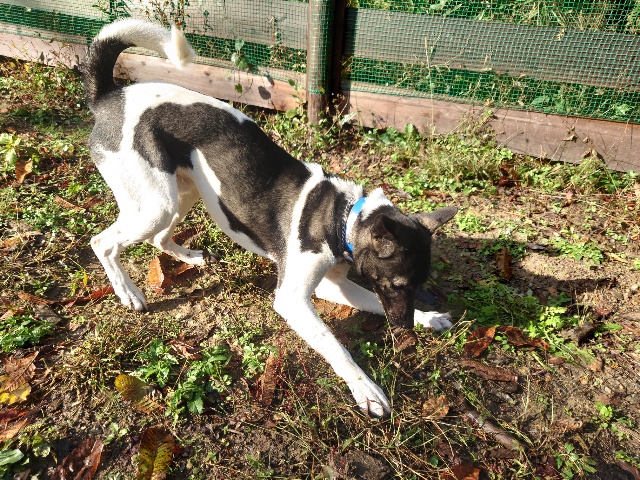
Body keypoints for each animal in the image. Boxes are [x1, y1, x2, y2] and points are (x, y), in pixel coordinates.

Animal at [83, 19, 457, 417]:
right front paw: (365, 388)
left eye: (417, 286)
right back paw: (128, 293)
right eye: (398, 285)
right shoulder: (293, 298)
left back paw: (191, 257)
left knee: (157, 237)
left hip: (183, 193)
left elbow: (371, 303)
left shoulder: (332, 286)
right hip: (156, 204)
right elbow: (334, 343)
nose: (406, 332)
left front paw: (428, 318)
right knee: (103, 242)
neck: (341, 215)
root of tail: (110, 96)